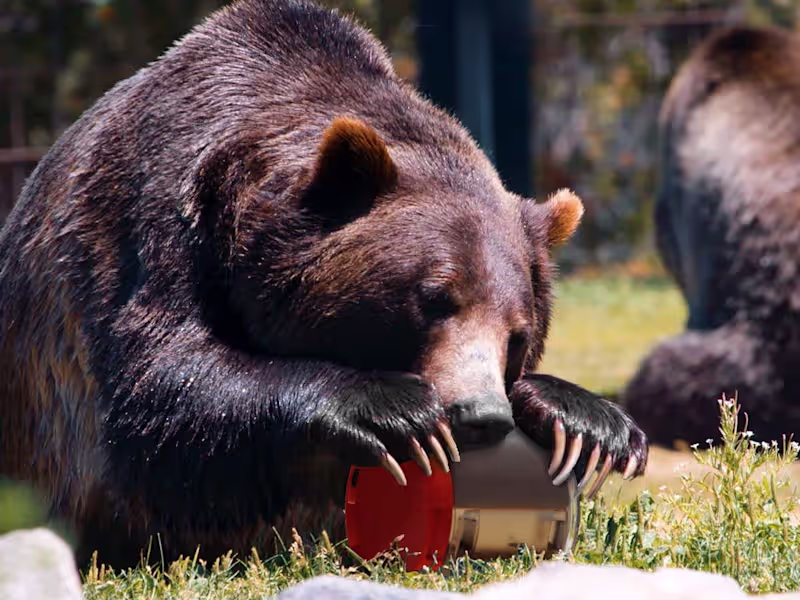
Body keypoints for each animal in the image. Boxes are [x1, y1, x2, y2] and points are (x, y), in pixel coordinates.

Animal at [0, 0, 647, 568]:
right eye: (435, 298)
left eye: (517, 332)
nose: (482, 413)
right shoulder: (156, 223)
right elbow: (160, 388)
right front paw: (395, 409)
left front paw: (588, 423)